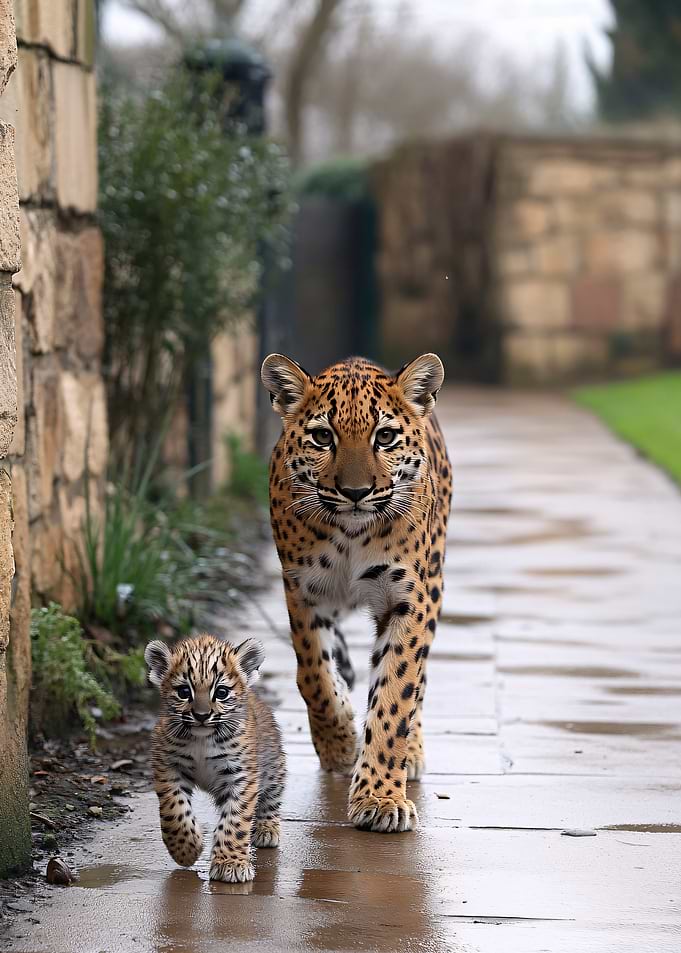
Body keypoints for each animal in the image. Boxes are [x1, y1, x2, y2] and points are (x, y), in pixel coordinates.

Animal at [144, 634, 285, 882]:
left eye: (221, 693)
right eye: (184, 692)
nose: (201, 716)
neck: (202, 739)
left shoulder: (241, 776)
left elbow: (235, 820)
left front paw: (231, 864)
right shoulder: (168, 767)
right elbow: (174, 810)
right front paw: (186, 850)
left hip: (273, 768)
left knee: (271, 799)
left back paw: (267, 831)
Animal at [261, 352, 452, 834]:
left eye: (384, 436)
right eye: (322, 436)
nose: (355, 492)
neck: (351, 534)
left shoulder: (408, 600)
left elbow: (396, 693)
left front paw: (381, 797)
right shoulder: (302, 591)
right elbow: (313, 675)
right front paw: (340, 744)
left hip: (435, 582)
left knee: (419, 681)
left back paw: (412, 754)